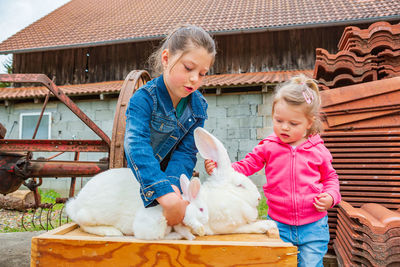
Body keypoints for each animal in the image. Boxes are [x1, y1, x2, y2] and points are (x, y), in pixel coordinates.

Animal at [64, 171, 208, 242]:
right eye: (201, 209)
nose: (206, 221)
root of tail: (75, 205)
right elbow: (158, 235)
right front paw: (177, 236)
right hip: (91, 215)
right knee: (84, 225)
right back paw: (112, 232)